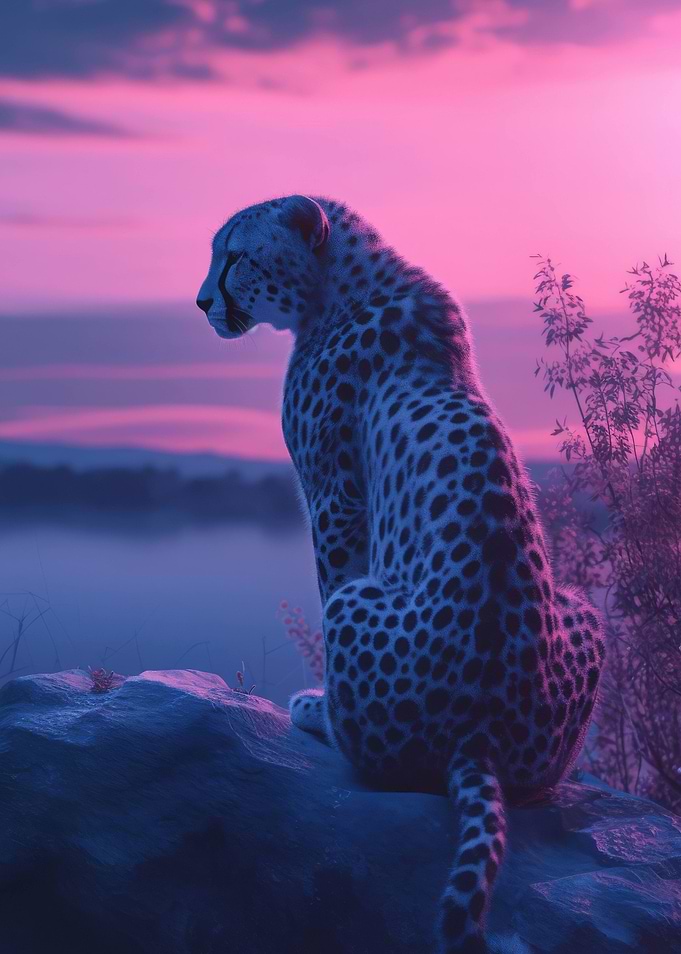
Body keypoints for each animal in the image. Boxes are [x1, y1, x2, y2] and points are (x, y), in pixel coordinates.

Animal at [196, 193, 605, 953]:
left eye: (235, 255)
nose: (203, 300)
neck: (346, 284)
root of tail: (481, 738)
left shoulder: (334, 499)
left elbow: (329, 578)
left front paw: (322, 697)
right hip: (584, 615)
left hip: (360, 607)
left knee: (372, 753)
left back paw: (319, 714)